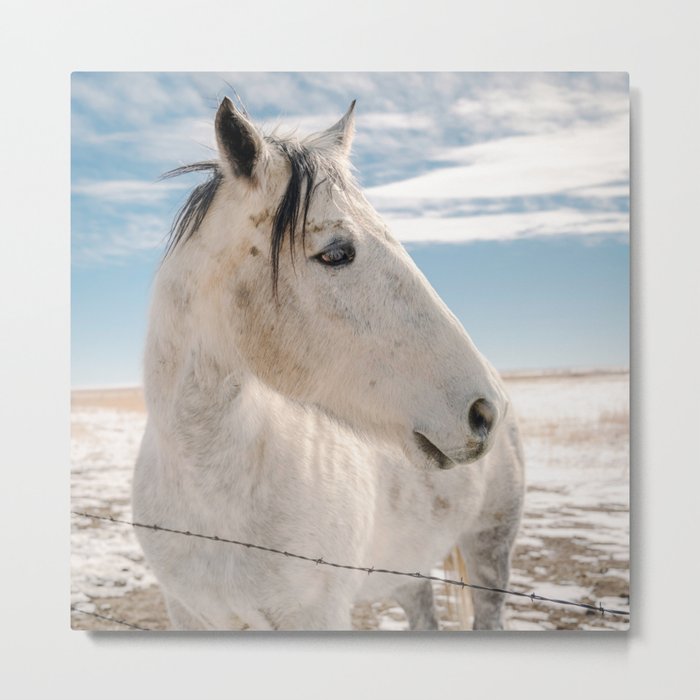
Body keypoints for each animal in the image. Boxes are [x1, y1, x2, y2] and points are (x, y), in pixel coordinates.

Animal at [133, 97, 524, 628]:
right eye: (336, 252)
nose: (484, 410)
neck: (212, 494)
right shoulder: (187, 611)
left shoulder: (319, 614)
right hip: (409, 571)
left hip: (490, 550)